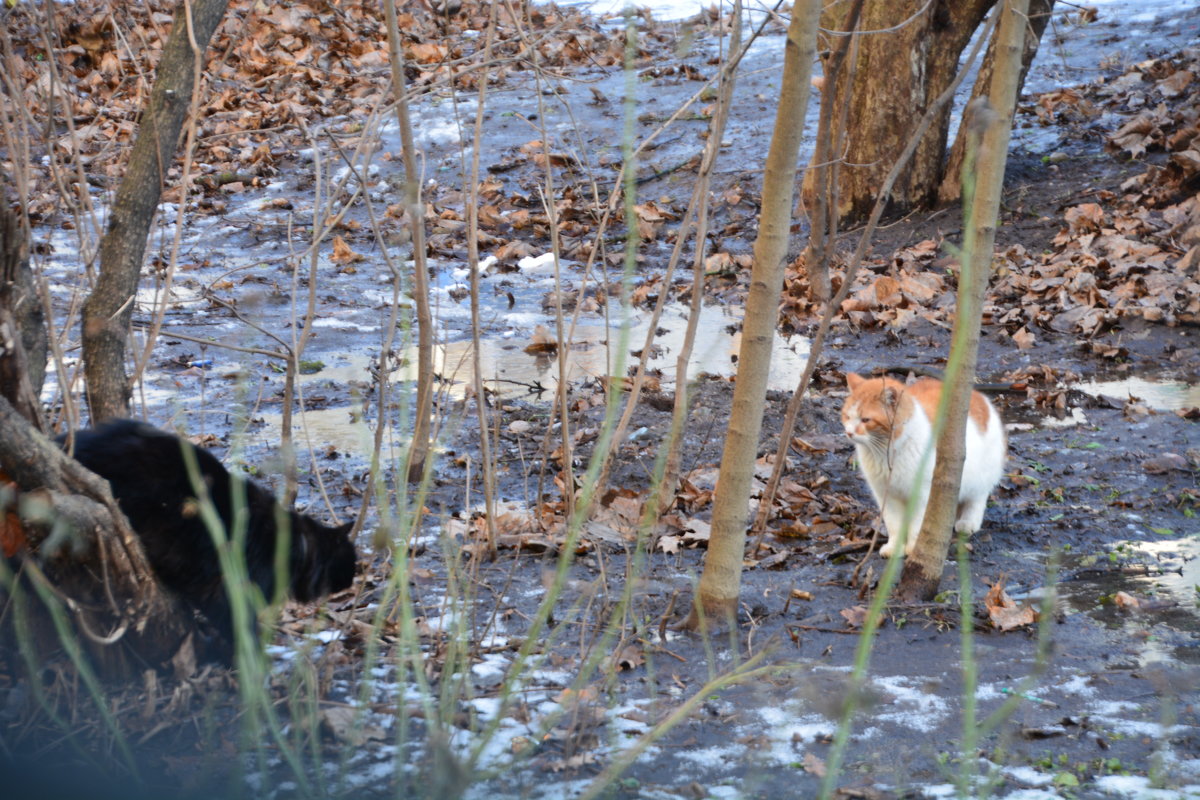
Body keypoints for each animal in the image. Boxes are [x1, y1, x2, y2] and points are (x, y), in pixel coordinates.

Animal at [844, 374, 1003, 556]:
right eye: (847, 417)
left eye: (865, 420)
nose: (849, 432)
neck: (887, 453)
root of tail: (978, 395)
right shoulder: (887, 496)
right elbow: (894, 525)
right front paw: (895, 548)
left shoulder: (923, 495)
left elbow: (918, 526)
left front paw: (915, 549)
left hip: (980, 478)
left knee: (977, 499)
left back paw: (968, 522)